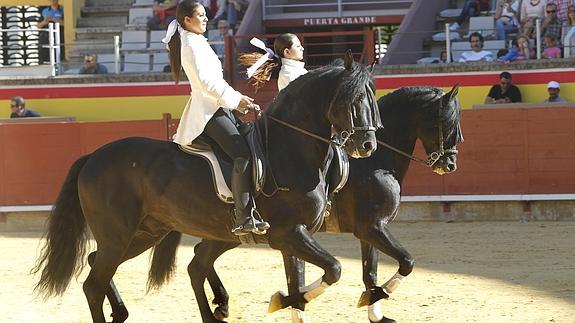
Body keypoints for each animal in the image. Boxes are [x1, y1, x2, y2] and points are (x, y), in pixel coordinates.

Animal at [31, 53, 382, 323]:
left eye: (372, 98)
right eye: (352, 99)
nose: (367, 145)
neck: (289, 149)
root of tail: (93, 156)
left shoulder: (292, 235)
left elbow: (303, 280)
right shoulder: (289, 233)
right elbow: (333, 269)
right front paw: (279, 300)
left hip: (146, 233)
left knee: (110, 265)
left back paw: (127, 312)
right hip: (119, 235)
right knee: (94, 283)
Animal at [187, 85, 466, 322]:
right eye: (446, 123)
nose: (450, 165)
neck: (375, 162)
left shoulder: (369, 231)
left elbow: (371, 271)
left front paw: (374, 310)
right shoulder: (372, 227)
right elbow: (407, 262)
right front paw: (372, 297)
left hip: (230, 234)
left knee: (199, 259)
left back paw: (221, 304)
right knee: (199, 260)